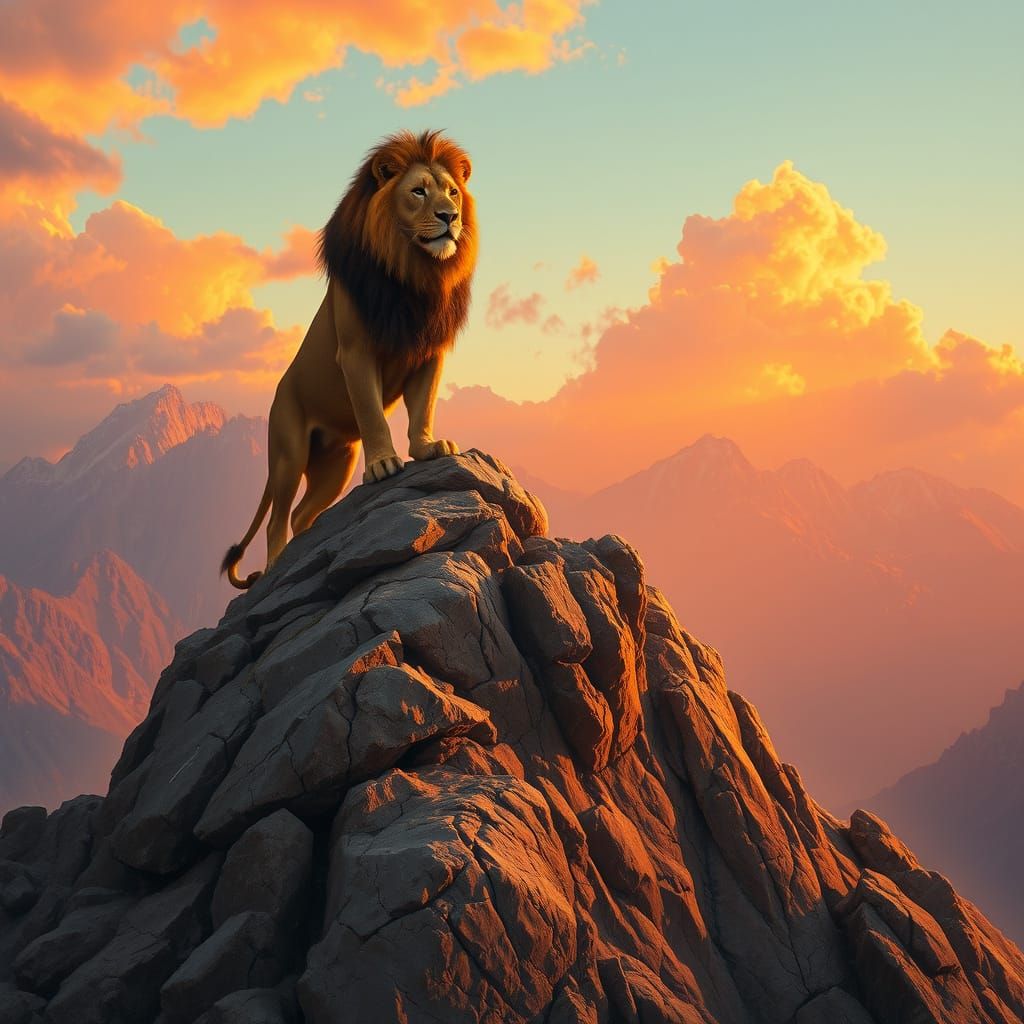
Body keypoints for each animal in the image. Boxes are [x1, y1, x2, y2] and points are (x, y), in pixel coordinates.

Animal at [221, 129, 477, 590]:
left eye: (452, 192)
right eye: (418, 191)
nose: (450, 216)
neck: (414, 274)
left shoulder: (429, 352)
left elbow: (423, 406)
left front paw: (427, 447)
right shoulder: (357, 351)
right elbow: (373, 413)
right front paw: (385, 464)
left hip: (336, 465)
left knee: (302, 516)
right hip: (287, 454)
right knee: (276, 520)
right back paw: (276, 567)